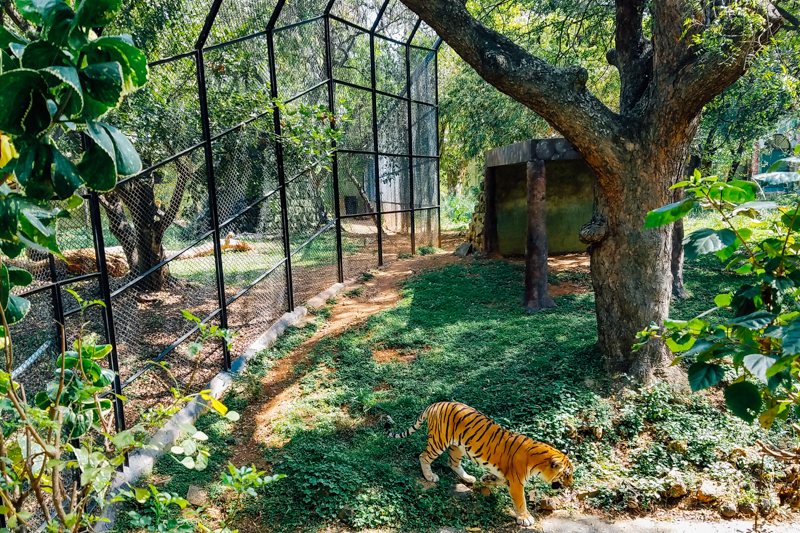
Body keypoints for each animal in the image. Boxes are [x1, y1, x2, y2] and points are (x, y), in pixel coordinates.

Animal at [385, 401, 573, 526]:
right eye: (567, 474)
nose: (571, 485)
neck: (537, 463)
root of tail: (436, 404)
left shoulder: (508, 477)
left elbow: (497, 479)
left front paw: (486, 479)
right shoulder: (516, 483)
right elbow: (521, 502)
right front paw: (525, 518)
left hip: (457, 447)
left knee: (452, 462)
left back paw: (469, 478)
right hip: (439, 442)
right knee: (423, 457)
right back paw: (430, 476)